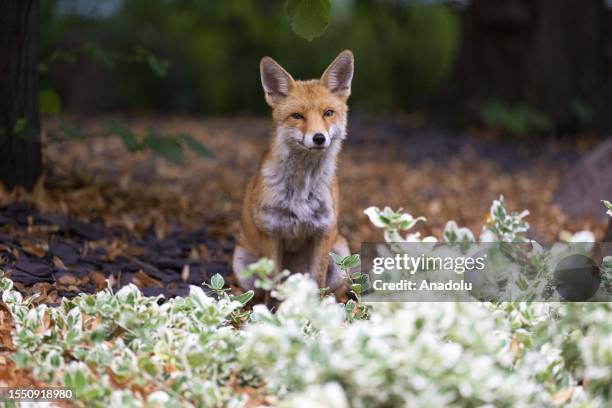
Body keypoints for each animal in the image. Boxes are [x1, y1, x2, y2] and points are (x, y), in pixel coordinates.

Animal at [232, 50, 354, 296]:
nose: (319, 138)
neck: (301, 188)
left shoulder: (323, 231)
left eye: (328, 113)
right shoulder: (271, 231)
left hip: (341, 257)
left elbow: (317, 283)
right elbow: (272, 287)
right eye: (297, 116)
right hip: (243, 266)